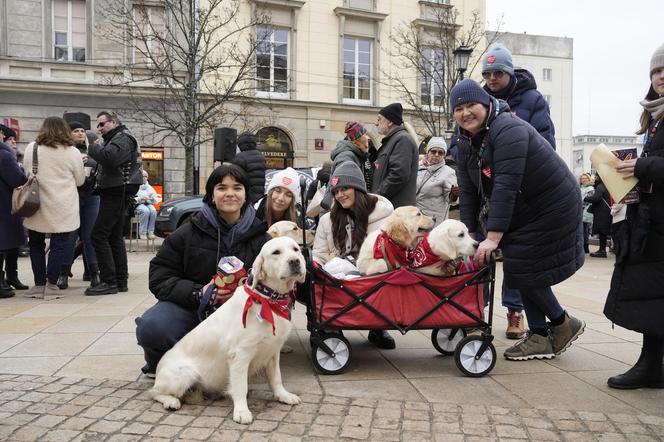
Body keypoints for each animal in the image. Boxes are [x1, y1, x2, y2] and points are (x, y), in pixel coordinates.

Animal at [150, 238, 306, 424]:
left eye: (296, 249)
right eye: (276, 252)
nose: (295, 261)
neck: (268, 299)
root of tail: (158, 369)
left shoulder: (273, 351)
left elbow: (276, 378)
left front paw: (284, 395)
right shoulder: (240, 354)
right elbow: (240, 387)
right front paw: (241, 411)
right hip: (185, 373)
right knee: (154, 392)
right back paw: (171, 401)